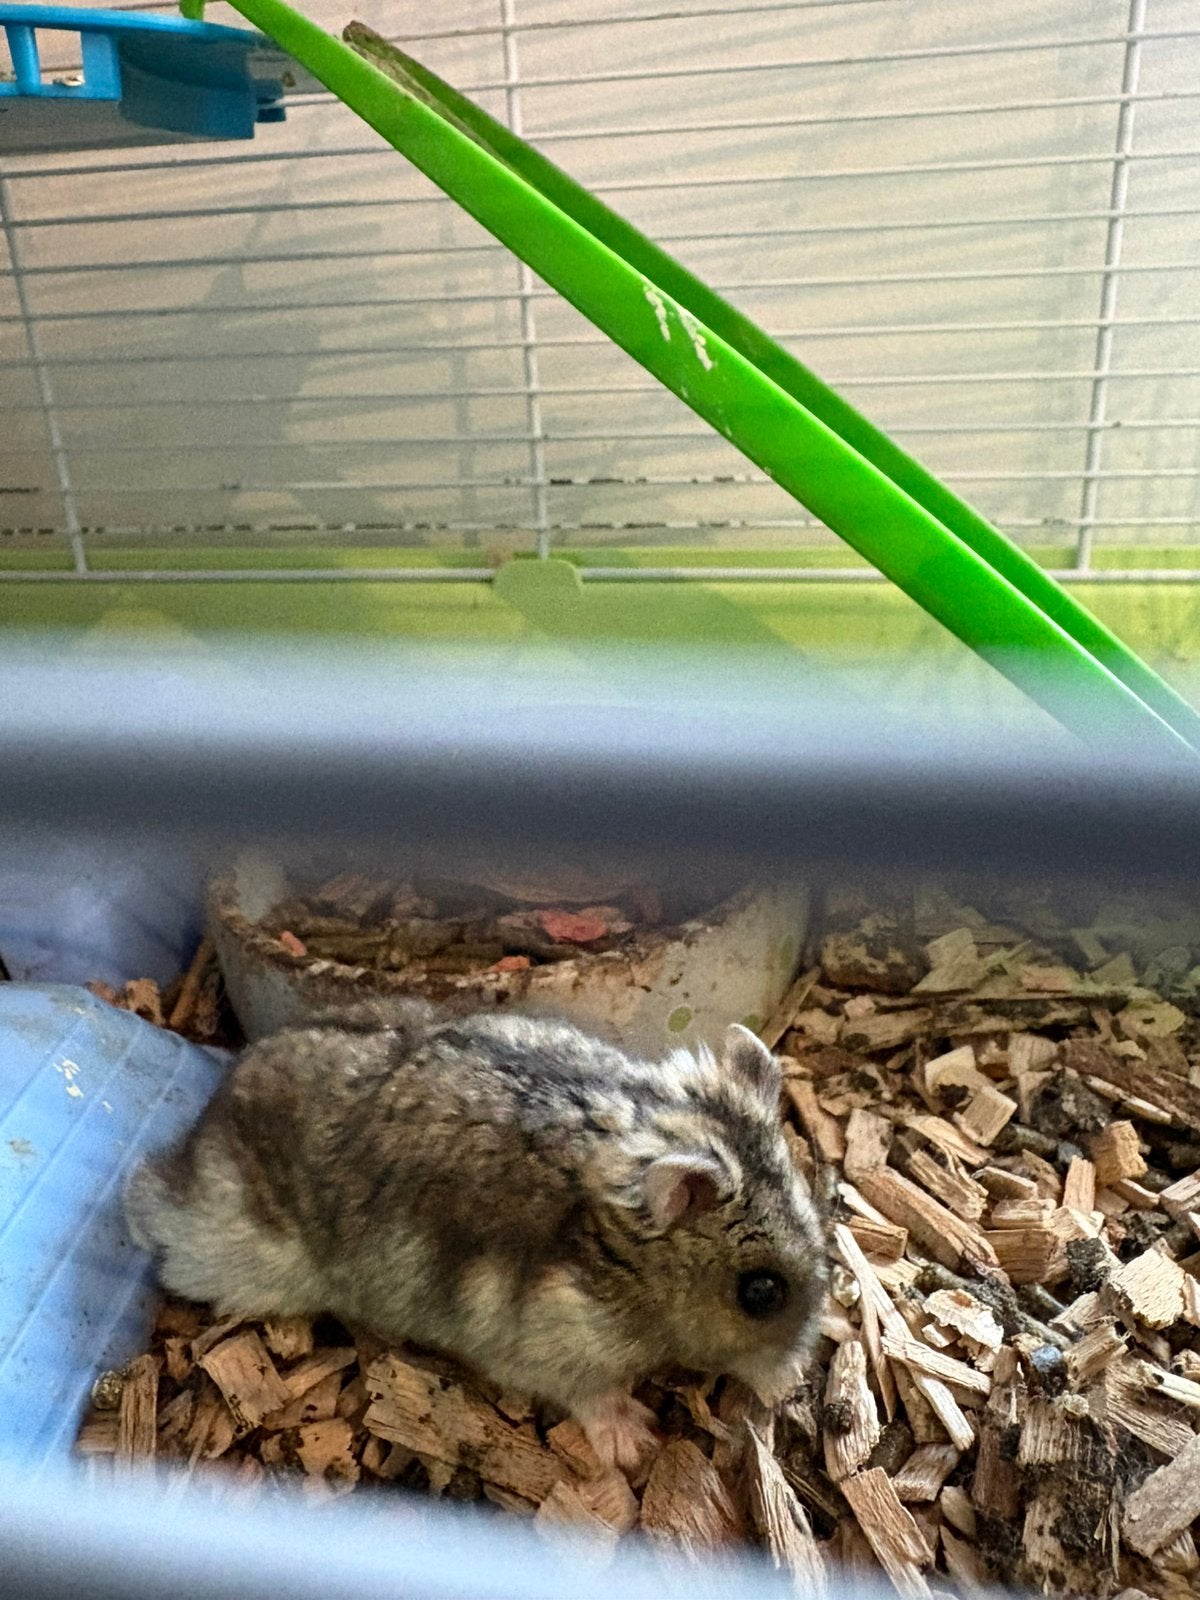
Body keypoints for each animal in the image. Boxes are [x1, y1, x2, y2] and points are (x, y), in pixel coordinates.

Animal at [125, 999, 829, 1471]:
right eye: (760, 1293)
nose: (797, 1383)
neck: (616, 1255)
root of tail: (210, 1110)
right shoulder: (556, 1345)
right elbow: (594, 1395)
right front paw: (636, 1443)